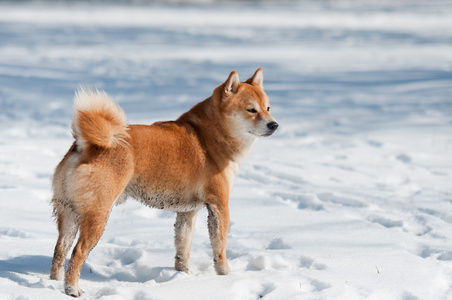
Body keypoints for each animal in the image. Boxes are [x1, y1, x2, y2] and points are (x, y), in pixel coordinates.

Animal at [48, 69, 276, 296]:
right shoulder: (219, 206)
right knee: (77, 253)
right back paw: (72, 289)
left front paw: (183, 276)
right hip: (98, 216)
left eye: (268, 108)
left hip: (69, 214)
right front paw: (225, 276)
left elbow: (183, 249)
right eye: (251, 110)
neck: (209, 137)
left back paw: (53, 283)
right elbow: (219, 249)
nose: (274, 124)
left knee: (60, 250)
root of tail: (84, 145)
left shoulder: (188, 212)